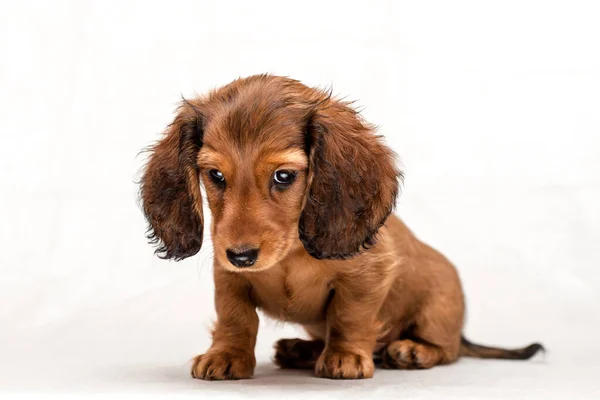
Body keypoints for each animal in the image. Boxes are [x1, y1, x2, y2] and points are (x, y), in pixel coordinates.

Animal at [142, 74, 544, 378]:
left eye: (283, 176)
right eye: (216, 176)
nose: (241, 256)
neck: (291, 253)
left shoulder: (367, 277)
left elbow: (349, 316)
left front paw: (346, 356)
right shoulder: (227, 277)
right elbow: (235, 317)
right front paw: (226, 355)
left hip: (438, 310)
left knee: (448, 350)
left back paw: (412, 351)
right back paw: (300, 350)